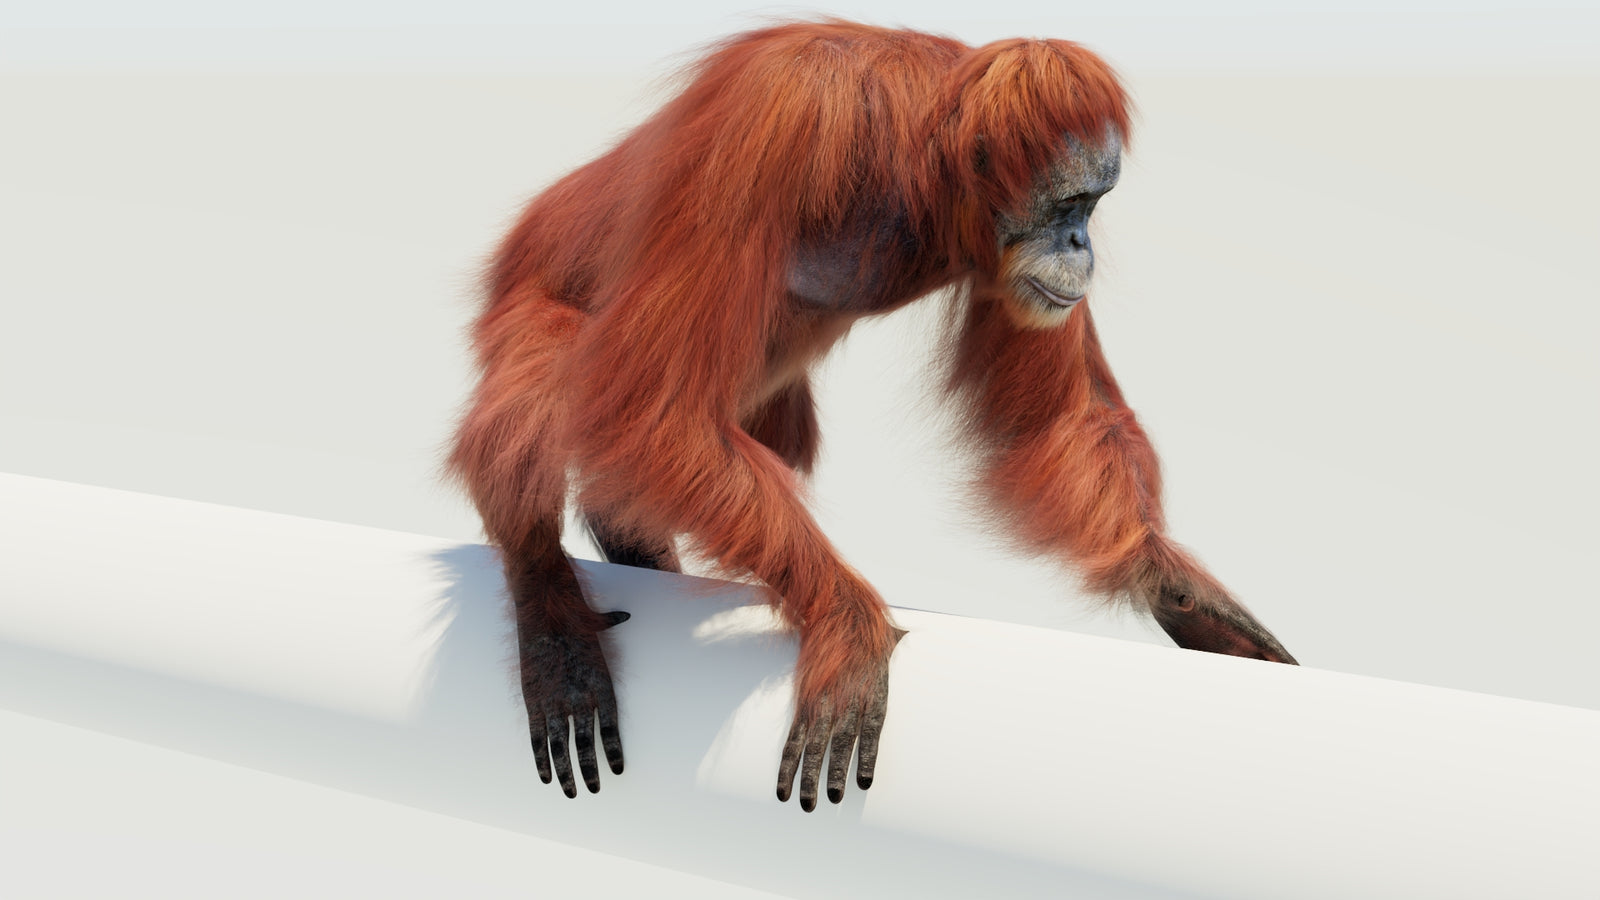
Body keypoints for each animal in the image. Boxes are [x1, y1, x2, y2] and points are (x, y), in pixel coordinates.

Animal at [448, 19, 1296, 814]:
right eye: (1070, 203)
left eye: (1094, 205)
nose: (1082, 244)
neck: (913, 168)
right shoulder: (781, 112)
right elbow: (657, 407)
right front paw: (848, 623)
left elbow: (1055, 422)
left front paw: (1178, 586)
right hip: (526, 285)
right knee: (548, 384)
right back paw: (548, 609)